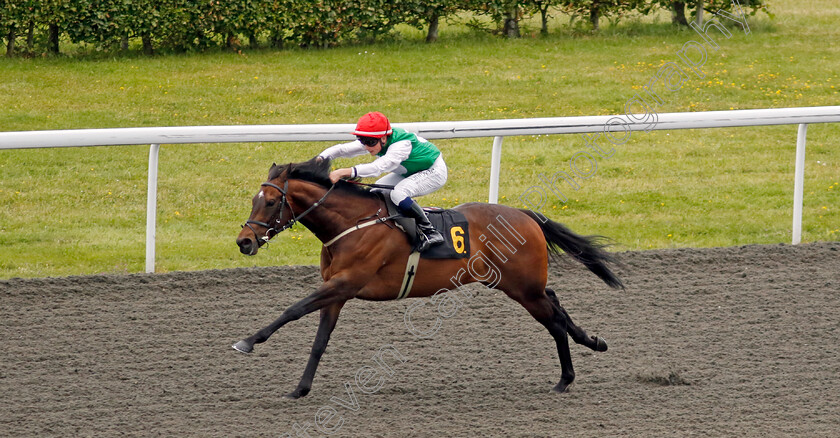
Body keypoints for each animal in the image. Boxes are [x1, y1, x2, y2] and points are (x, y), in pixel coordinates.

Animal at [233, 157, 620, 396]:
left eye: (271, 202)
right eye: (254, 199)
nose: (244, 241)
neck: (352, 224)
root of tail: (525, 215)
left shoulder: (345, 282)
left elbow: (293, 309)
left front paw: (247, 341)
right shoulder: (337, 291)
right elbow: (319, 341)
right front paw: (300, 388)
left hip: (523, 288)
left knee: (553, 322)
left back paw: (565, 380)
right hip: (518, 284)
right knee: (555, 303)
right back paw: (593, 342)